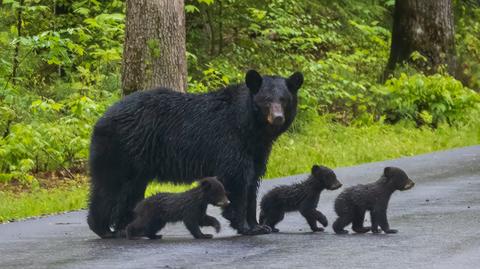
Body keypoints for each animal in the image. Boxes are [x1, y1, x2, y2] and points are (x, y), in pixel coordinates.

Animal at [88, 68, 302, 237]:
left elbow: (252, 181)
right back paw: (104, 228)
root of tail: (102, 117)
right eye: (266, 100)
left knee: (129, 192)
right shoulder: (230, 141)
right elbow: (238, 179)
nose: (277, 117)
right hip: (120, 149)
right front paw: (245, 226)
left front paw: (259, 225)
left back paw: (124, 226)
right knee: (109, 187)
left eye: (284, 99)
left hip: (137, 163)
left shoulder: (257, 150)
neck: (250, 127)